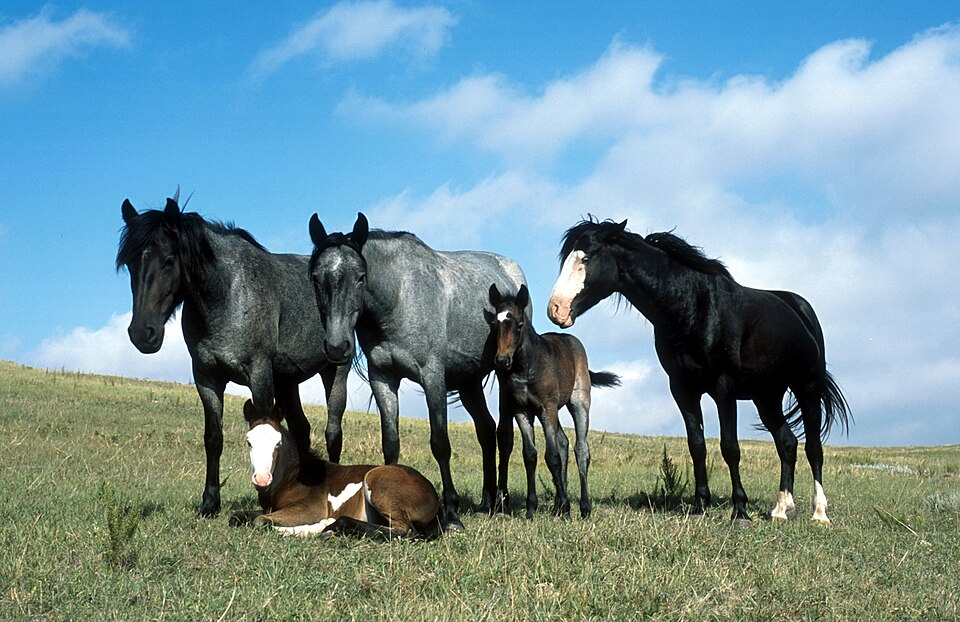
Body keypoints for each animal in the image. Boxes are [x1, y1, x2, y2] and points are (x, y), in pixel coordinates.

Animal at [116, 192, 350, 516]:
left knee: (333, 433)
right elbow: (213, 438)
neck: (227, 295)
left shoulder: (259, 374)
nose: (142, 333)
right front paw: (210, 503)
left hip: (335, 372)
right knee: (301, 429)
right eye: (130, 263)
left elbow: (266, 426)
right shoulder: (207, 378)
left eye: (169, 260)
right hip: (288, 382)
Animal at [232, 401, 443, 539]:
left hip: (377, 481)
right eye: (249, 442)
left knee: (404, 530)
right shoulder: (270, 508)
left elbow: (260, 521)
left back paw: (327, 526)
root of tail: (433, 493)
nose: (262, 479)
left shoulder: (311, 508)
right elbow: (236, 516)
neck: (292, 478)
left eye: (278, 443)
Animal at [307, 212, 528, 528]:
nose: (337, 346)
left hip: (503, 373)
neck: (399, 297)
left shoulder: (432, 377)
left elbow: (440, 443)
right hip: (469, 381)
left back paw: (501, 503)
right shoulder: (383, 378)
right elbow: (391, 443)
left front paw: (451, 513)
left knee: (504, 437)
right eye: (316, 278)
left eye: (360, 277)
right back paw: (486, 502)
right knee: (486, 431)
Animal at [488, 283, 620, 519]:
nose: (502, 360)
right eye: (495, 324)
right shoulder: (522, 411)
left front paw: (567, 508)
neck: (526, 367)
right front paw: (532, 509)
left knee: (581, 449)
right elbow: (530, 455)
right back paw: (558, 504)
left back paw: (583, 507)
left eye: (519, 325)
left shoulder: (546, 408)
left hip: (578, 403)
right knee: (564, 442)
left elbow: (552, 457)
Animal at [547, 217, 851, 523]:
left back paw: (819, 513)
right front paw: (699, 505)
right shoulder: (683, 389)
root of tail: (801, 309)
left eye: (586, 258)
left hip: (807, 388)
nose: (556, 309)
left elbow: (730, 447)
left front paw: (740, 511)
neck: (693, 307)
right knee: (787, 443)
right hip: (767, 397)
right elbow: (697, 446)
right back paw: (780, 509)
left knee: (813, 448)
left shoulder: (724, 388)